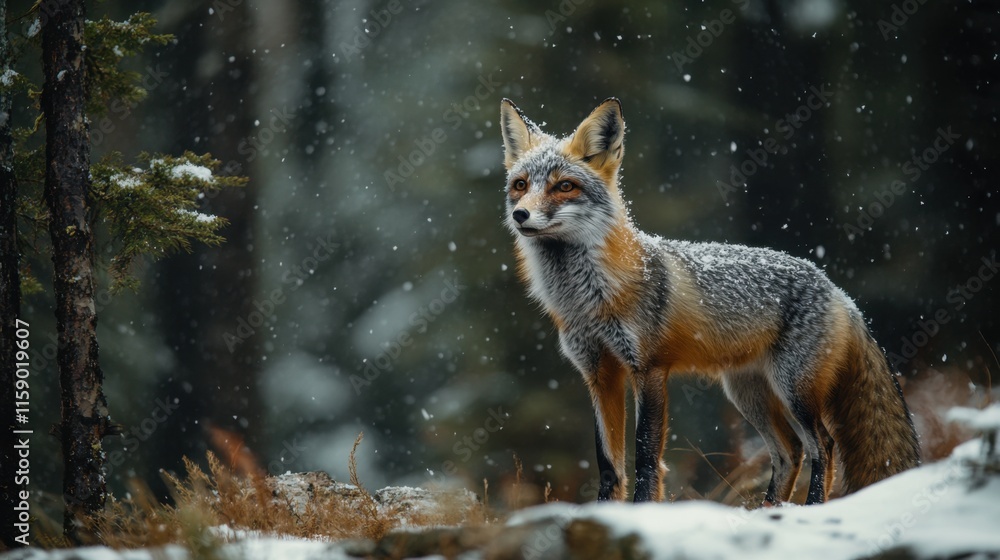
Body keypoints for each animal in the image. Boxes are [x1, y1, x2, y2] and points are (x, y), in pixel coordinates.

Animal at [499, 97, 920, 505]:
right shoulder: (599, 373)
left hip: (794, 390)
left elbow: (646, 456)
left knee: (824, 445)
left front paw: (644, 510)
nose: (520, 214)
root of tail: (839, 292)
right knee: (790, 452)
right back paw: (768, 511)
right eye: (520, 185)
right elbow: (608, 464)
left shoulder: (649, 369)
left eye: (564, 187)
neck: (589, 301)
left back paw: (811, 507)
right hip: (748, 394)